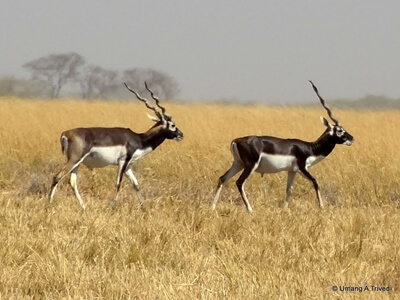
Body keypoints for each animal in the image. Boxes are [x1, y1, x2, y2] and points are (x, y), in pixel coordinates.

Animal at [48, 82, 184, 209]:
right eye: (173, 125)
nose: (181, 135)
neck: (139, 139)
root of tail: (65, 133)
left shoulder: (128, 165)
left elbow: (136, 184)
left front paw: (144, 208)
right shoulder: (122, 162)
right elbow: (118, 183)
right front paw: (113, 207)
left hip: (77, 162)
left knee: (72, 182)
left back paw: (84, 207)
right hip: (74, 159)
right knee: (56, 177)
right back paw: (48, 205)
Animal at [212, 81, 354, 212]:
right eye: (339, 130)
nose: (352, 138)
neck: (310, 149)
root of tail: (236, 141)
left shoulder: (292, 171)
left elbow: (289, 189)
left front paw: (285, 209)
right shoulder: (303, 168)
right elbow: (315, 182)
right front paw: (322, 207)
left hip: (238, 164)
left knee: (222, 179)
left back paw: (212, 207)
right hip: (250, 166)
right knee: (239, 182)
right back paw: (250, 210)